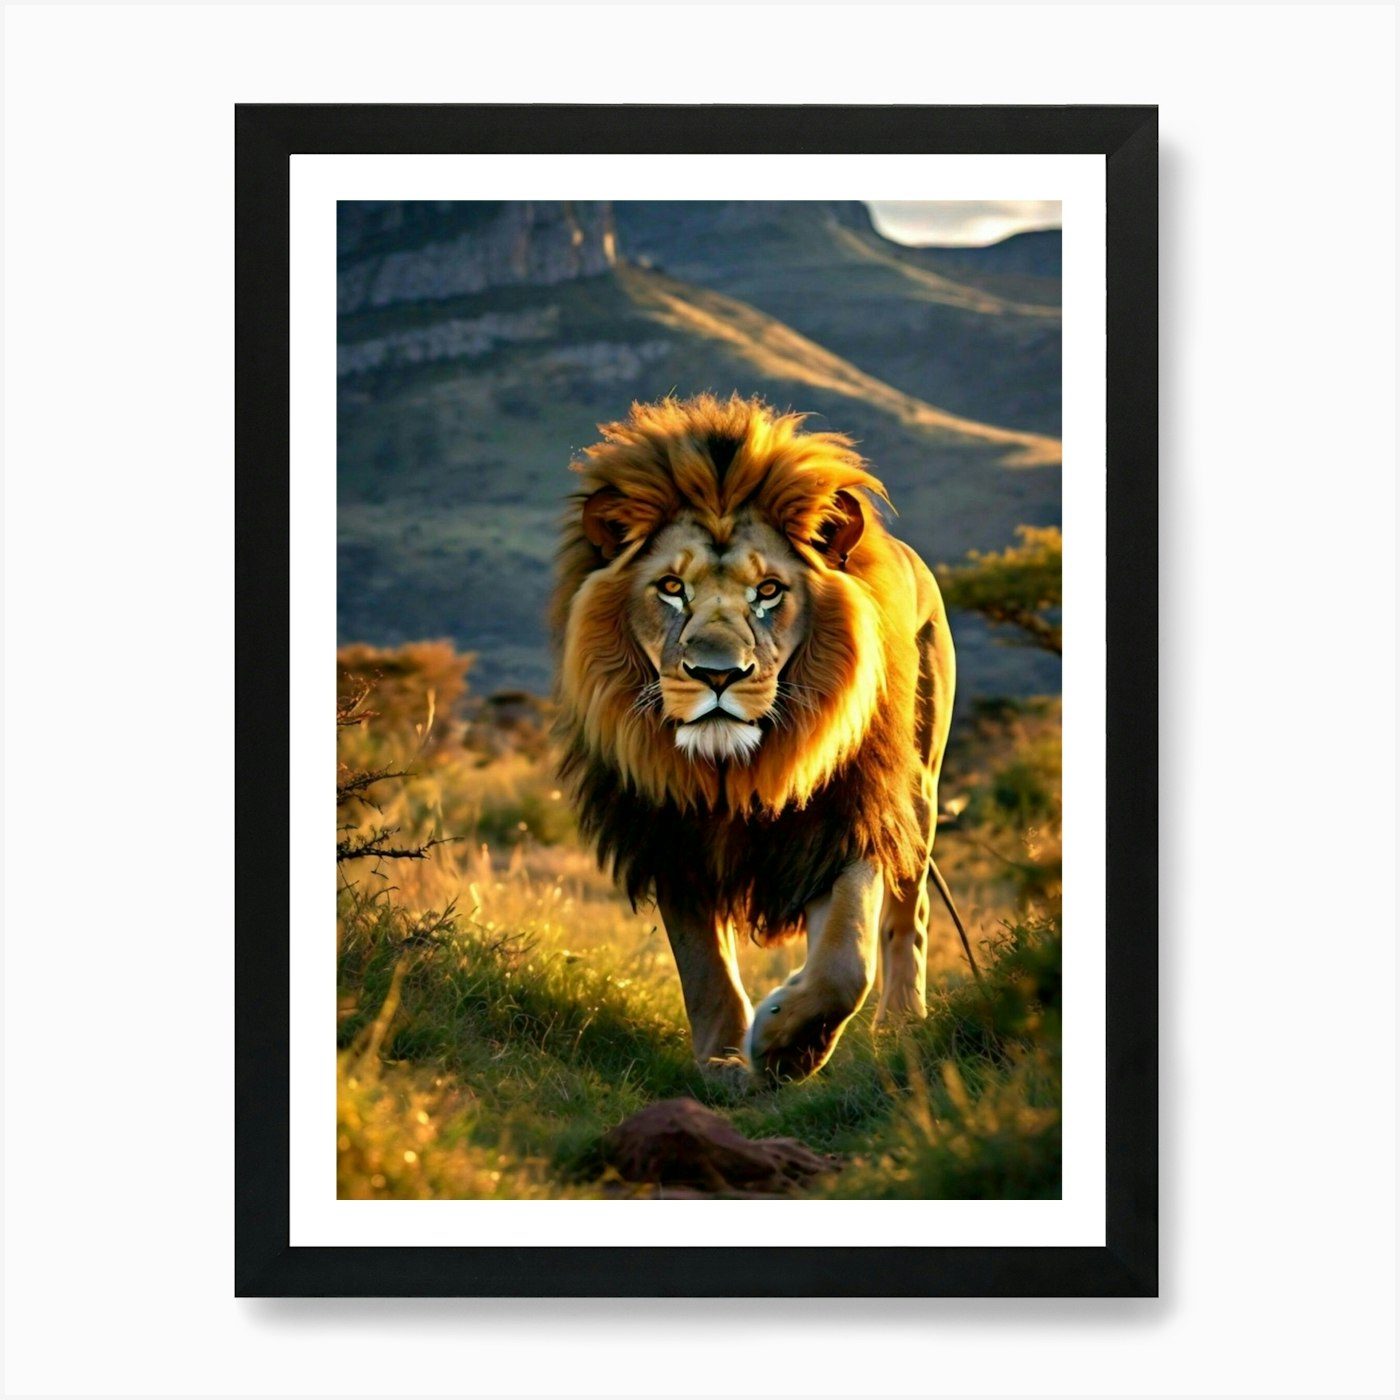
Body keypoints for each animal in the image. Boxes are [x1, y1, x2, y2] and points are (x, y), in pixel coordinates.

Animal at [551, 393, 974, 1084]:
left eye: (769, 591)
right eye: (672, 587)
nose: (718, 673)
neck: (736, 769)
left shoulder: (843, 817)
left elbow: (844, 964)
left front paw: (784, 1045)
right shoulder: (670, 833)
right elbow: (703, 967)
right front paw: (724, 1061)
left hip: (920, 789)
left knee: (908, 917)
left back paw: (901, 1024)